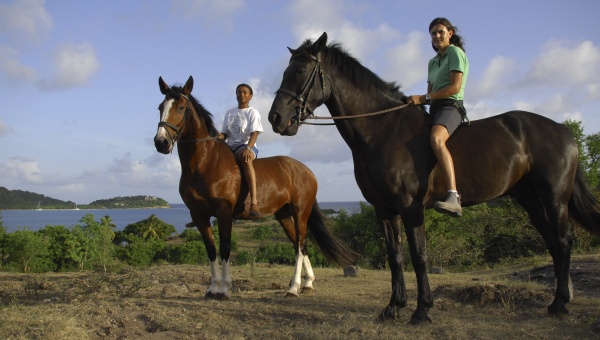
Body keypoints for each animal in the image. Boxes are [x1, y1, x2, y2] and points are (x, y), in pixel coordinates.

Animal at [152, 75, 356, 298]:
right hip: (283, 215)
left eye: (181, 107)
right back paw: (308, 283)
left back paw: (293, 288)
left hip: (300, 211)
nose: (161, 142)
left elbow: (225, 248)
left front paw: (224, 289)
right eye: (161, 107)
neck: (205, 163)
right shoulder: (199, 215)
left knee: (300, 245)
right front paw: (212, 288)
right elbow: (211, 250)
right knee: (299, 245)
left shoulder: (224, 212)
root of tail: (306, 170)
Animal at [270, 32, 600, 324]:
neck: (382, 130)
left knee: (563, 240)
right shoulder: (384, 209)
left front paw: (421, 310)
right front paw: (393, 308)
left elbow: (419, 256)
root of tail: (562, 130)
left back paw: (560, 304)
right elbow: (395, 257)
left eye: (300, 71)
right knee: (552, 241)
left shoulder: (410, 207)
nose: (277, 118)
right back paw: (561, 298)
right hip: (530, 200)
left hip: (555, 200)